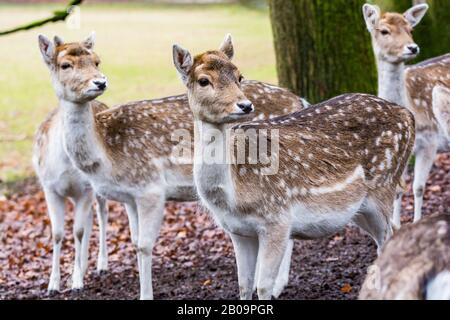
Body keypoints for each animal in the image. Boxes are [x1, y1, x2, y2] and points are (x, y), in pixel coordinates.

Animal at [37, 33, 306, 298]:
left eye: (96, 61)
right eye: (65, 65)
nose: (99, 82)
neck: (107, 157)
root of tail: (299, 100)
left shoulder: (151, 188)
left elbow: (145, 246)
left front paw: (145, 295)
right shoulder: (129, 196)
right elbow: (134, 242)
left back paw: (278, 286)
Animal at [364, 3, 448, 226]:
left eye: (411, 30)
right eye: (384, 31)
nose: (413, 48)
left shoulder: (430, 141)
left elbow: (418, 187)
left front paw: (417, 222)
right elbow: (398, 190)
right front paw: (398, 224)